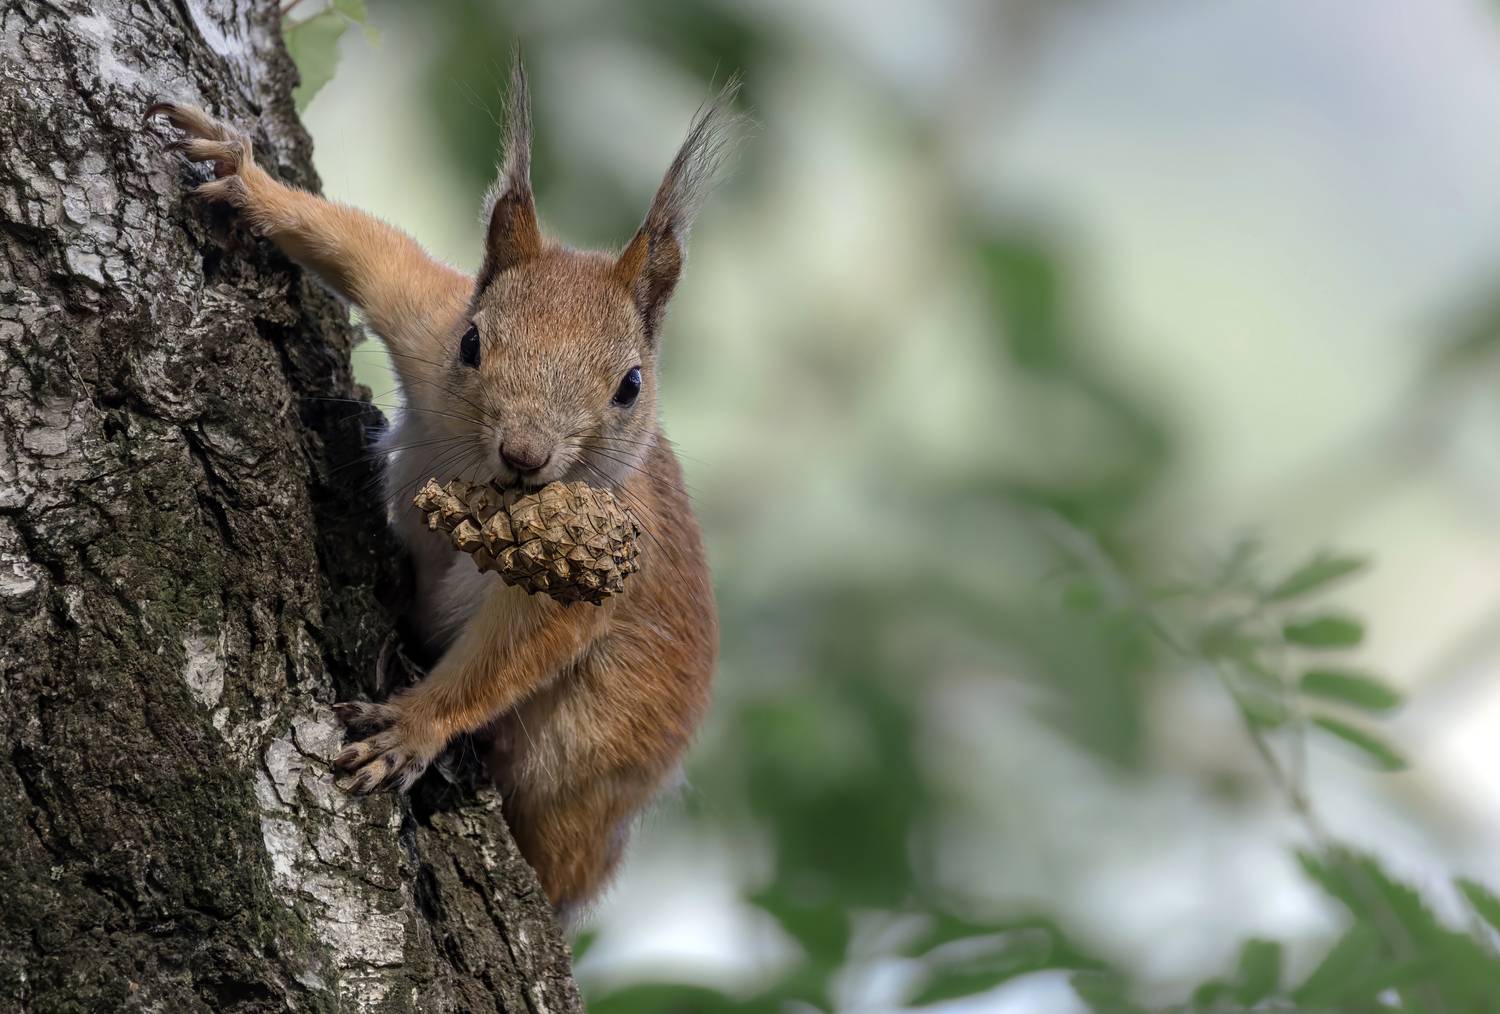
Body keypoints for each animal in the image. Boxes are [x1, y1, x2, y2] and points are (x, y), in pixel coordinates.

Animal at [146, 60, 732, 918]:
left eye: (631, 386)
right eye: (472, 342)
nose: (525, 453)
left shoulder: (594, 571)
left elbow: (519, 651)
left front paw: (414, 728)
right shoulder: (423, 317)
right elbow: (364, 248)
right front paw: (242, 175)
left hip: (581, 766)